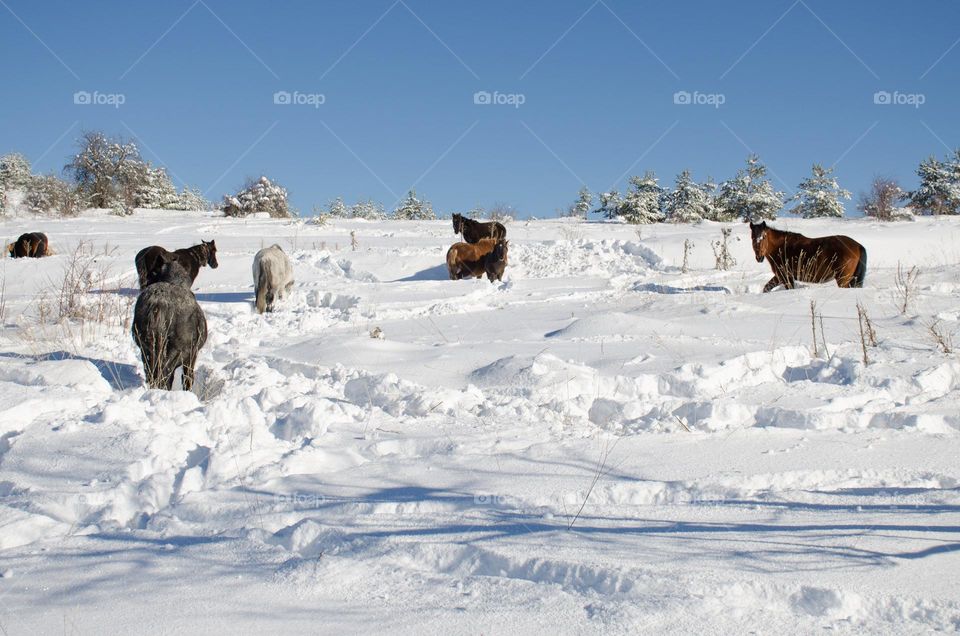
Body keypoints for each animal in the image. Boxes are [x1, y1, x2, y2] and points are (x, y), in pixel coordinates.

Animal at [131, 256, 208, 390]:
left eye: (153, 272)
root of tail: (158, 304)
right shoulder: (192, 354)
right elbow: (187, 379)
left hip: (145, 347)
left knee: (152, 375)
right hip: (174, 351)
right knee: (165, 376)